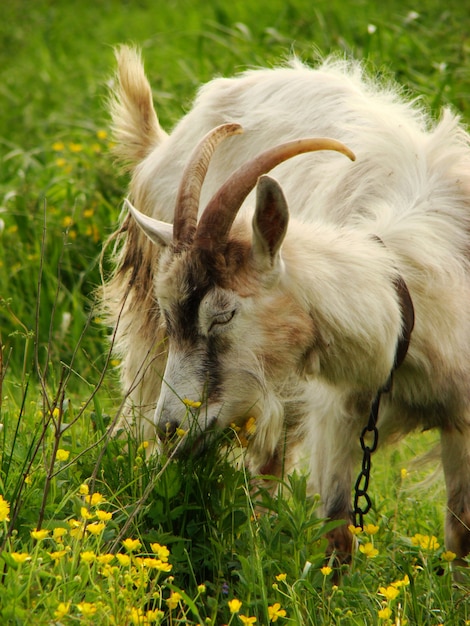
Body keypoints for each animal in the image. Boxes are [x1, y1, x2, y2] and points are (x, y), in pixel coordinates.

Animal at [103, 46, 470, 564]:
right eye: (173, 312)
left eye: (224, 313)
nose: (172, 427)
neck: (407, 310)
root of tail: (160, 142)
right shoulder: (338, 413)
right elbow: (337, 533)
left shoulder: (461, 417)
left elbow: (460, 535)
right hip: (149, 350)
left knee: (269, 467)